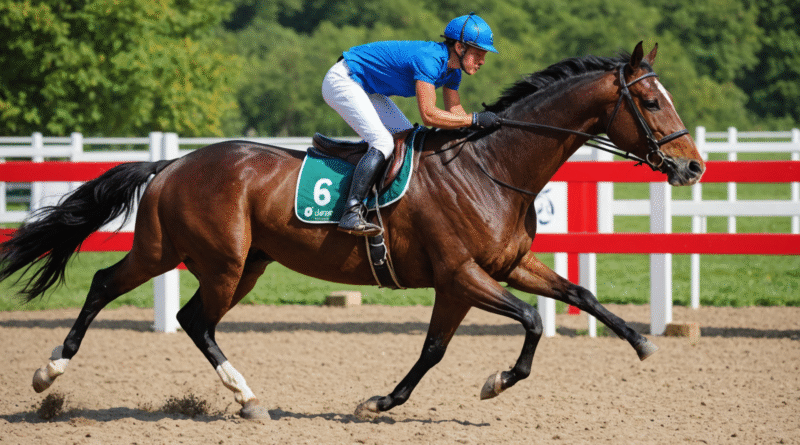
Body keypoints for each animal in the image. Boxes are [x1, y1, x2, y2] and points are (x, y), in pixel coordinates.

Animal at [0, 42, 704, 420]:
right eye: (650, 101)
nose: (693, 165)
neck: (492, 167)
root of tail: (173, 163)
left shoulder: (492, 271)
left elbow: (547, 306)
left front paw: (642, 342)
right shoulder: (462, 275)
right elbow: (528, 320)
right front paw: (496, 381)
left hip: (221, 260)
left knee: (151, 301)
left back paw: (236, 396)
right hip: (206, 257)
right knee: (152, 303)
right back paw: (55, 374)